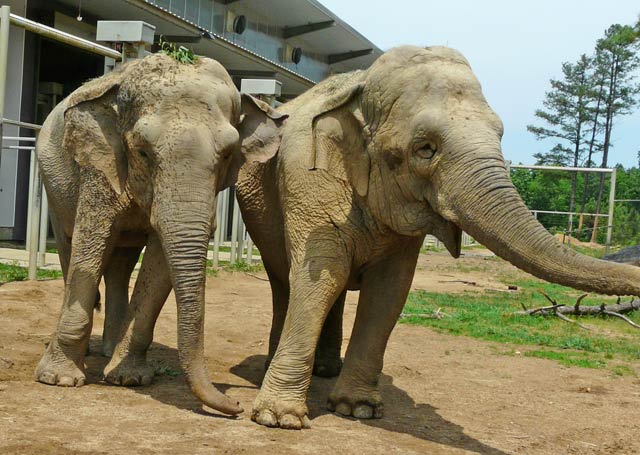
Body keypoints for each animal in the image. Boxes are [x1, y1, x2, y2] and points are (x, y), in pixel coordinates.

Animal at [34, 52, 284, 416]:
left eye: (227, 155)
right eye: (142, 151)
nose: (238, 404)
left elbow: (158, 260)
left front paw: (128, 378)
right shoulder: (100, 164)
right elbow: (90, 244)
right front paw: (59, 380)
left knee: (121, 264)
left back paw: (108, 351)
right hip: (53, 186)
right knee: (71, 249)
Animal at [232, 47, 640, 432]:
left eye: (500, 134)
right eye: (425, 148)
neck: (360, 90)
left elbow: (390, 291)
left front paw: (358, 409)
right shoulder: (307, 179)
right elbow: (321, 276)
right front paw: (278, 419)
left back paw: (327, 370)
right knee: (285, 280)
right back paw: (278, 368)